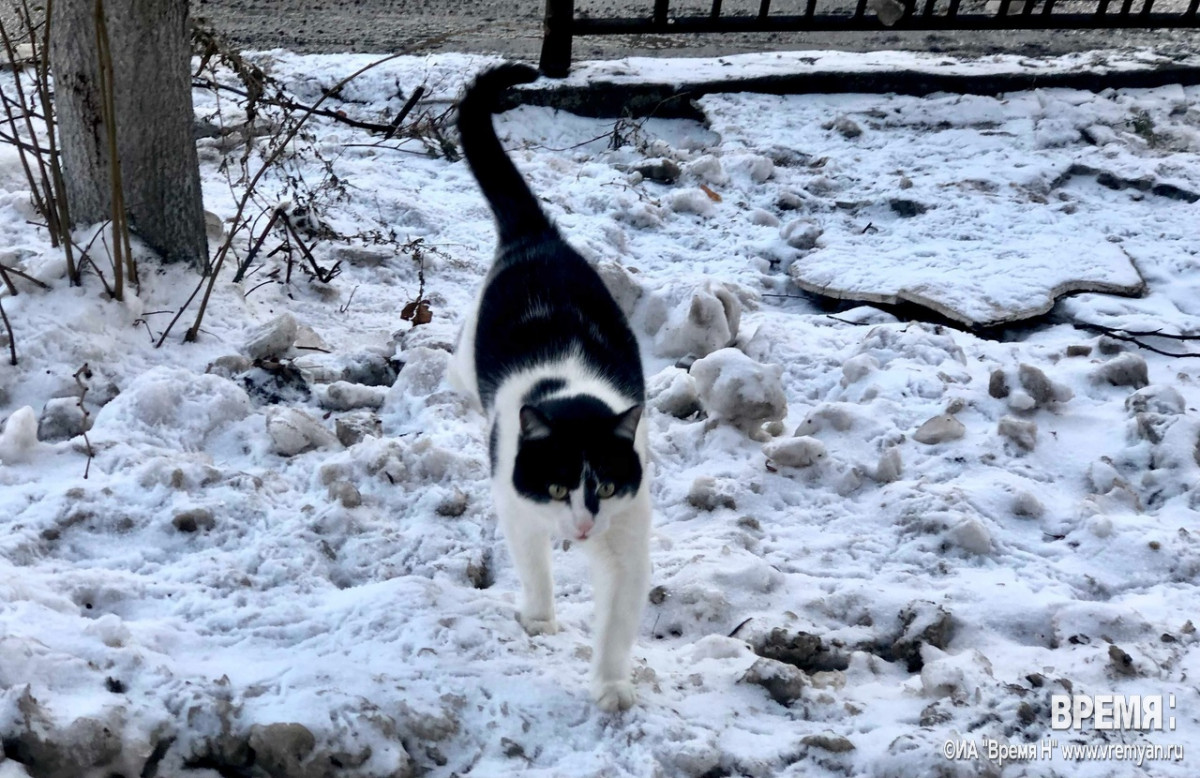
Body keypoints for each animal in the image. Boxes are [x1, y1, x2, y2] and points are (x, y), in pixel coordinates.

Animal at [449, 63, 652, 713]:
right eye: (559, 485)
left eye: (606, 485)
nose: (584, 527)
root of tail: (538, 237)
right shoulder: (515, 504)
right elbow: (532, 562)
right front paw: (540, 618)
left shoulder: (629, 532)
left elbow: (618, 618)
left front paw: (611, 686)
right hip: (466, 354)